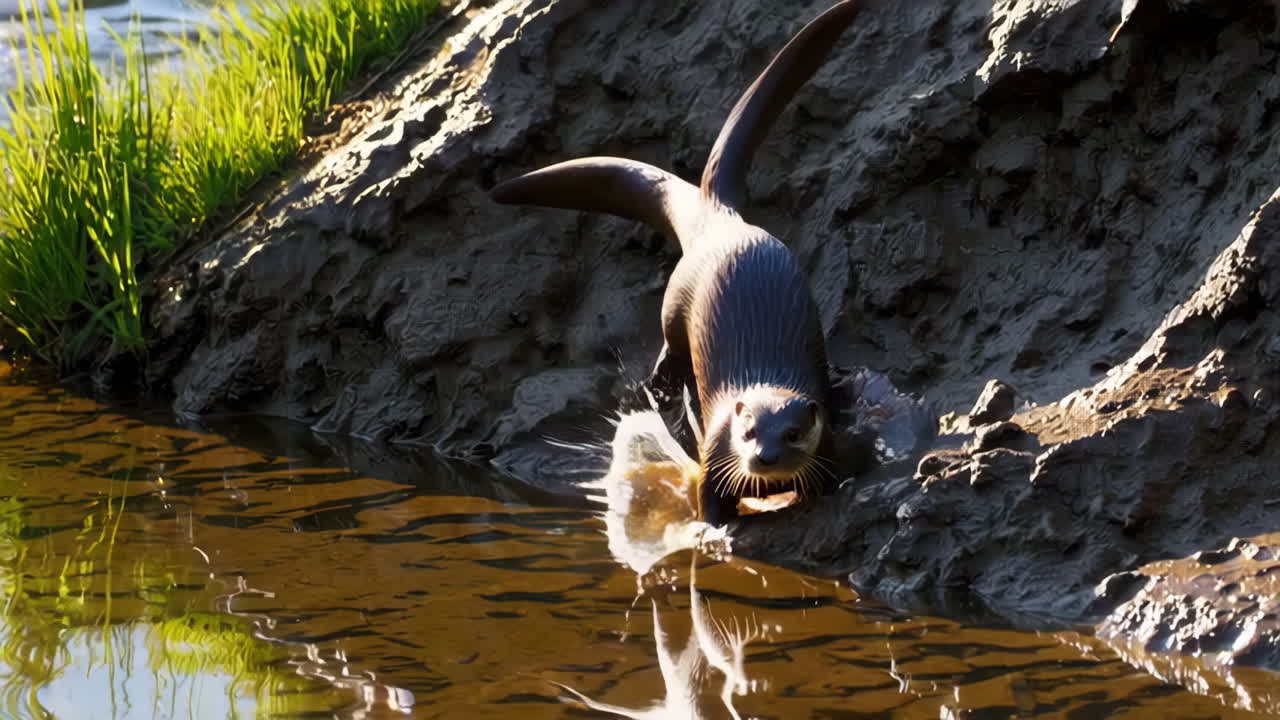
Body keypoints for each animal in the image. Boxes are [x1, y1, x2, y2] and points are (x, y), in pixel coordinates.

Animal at [490, 1, 860, 524]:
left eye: (792, 434)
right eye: (748, 432)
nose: (765, 457)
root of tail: (717, 214)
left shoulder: (825, 447)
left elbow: (825, 479)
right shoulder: (715, 456)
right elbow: (709, 499)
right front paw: (714, 529)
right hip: (675, 301)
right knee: (670, 343)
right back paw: (660, 383)